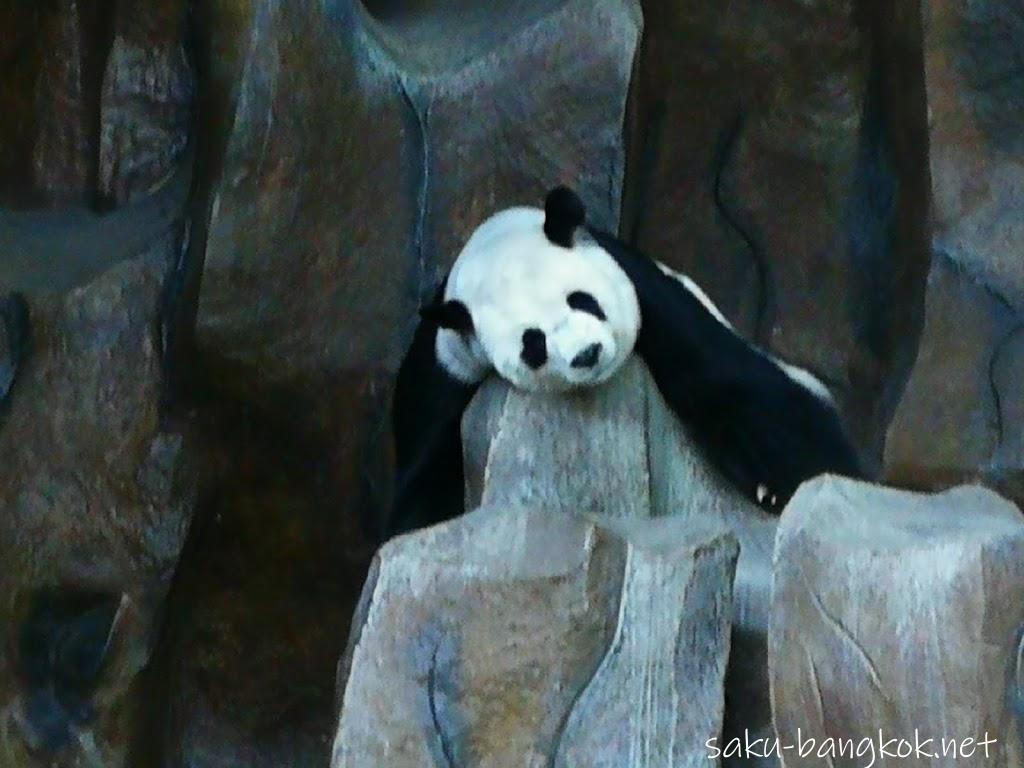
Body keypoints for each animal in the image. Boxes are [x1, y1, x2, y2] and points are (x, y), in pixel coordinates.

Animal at [387, 187, 860, 536]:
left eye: (582, 300)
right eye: (533, 343)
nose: (586, 354)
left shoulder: (651, 296)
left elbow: (740, 387)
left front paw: (810, 479)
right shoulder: (449, 364)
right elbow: (425, 467)